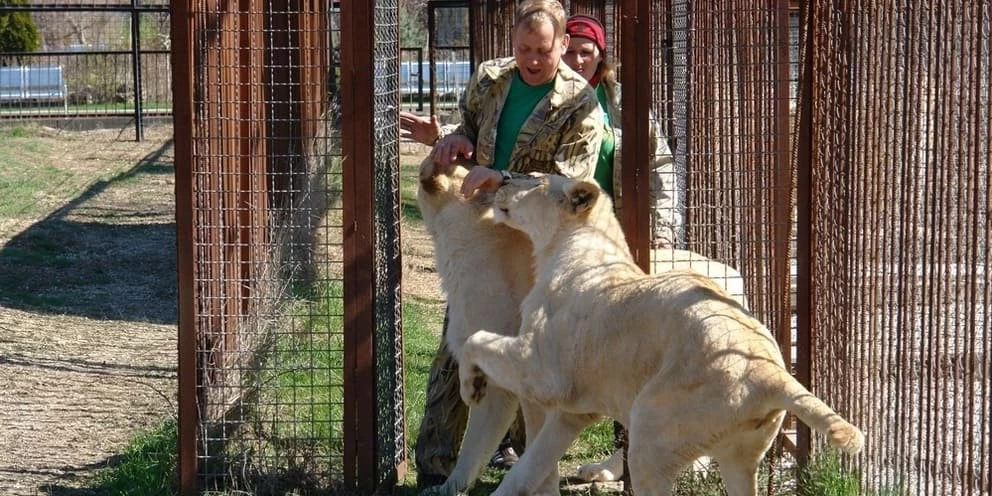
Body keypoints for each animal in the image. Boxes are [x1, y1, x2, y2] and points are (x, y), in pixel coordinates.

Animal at [458, 173, 865, 496]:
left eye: (535, 179)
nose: (502, 179)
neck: (574, 247)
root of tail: (771, 372)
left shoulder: (541, 369)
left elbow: (474, 339)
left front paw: (472, 388)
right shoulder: (575, 410)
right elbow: (531, 465)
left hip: (653, 432)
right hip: (740, 455)